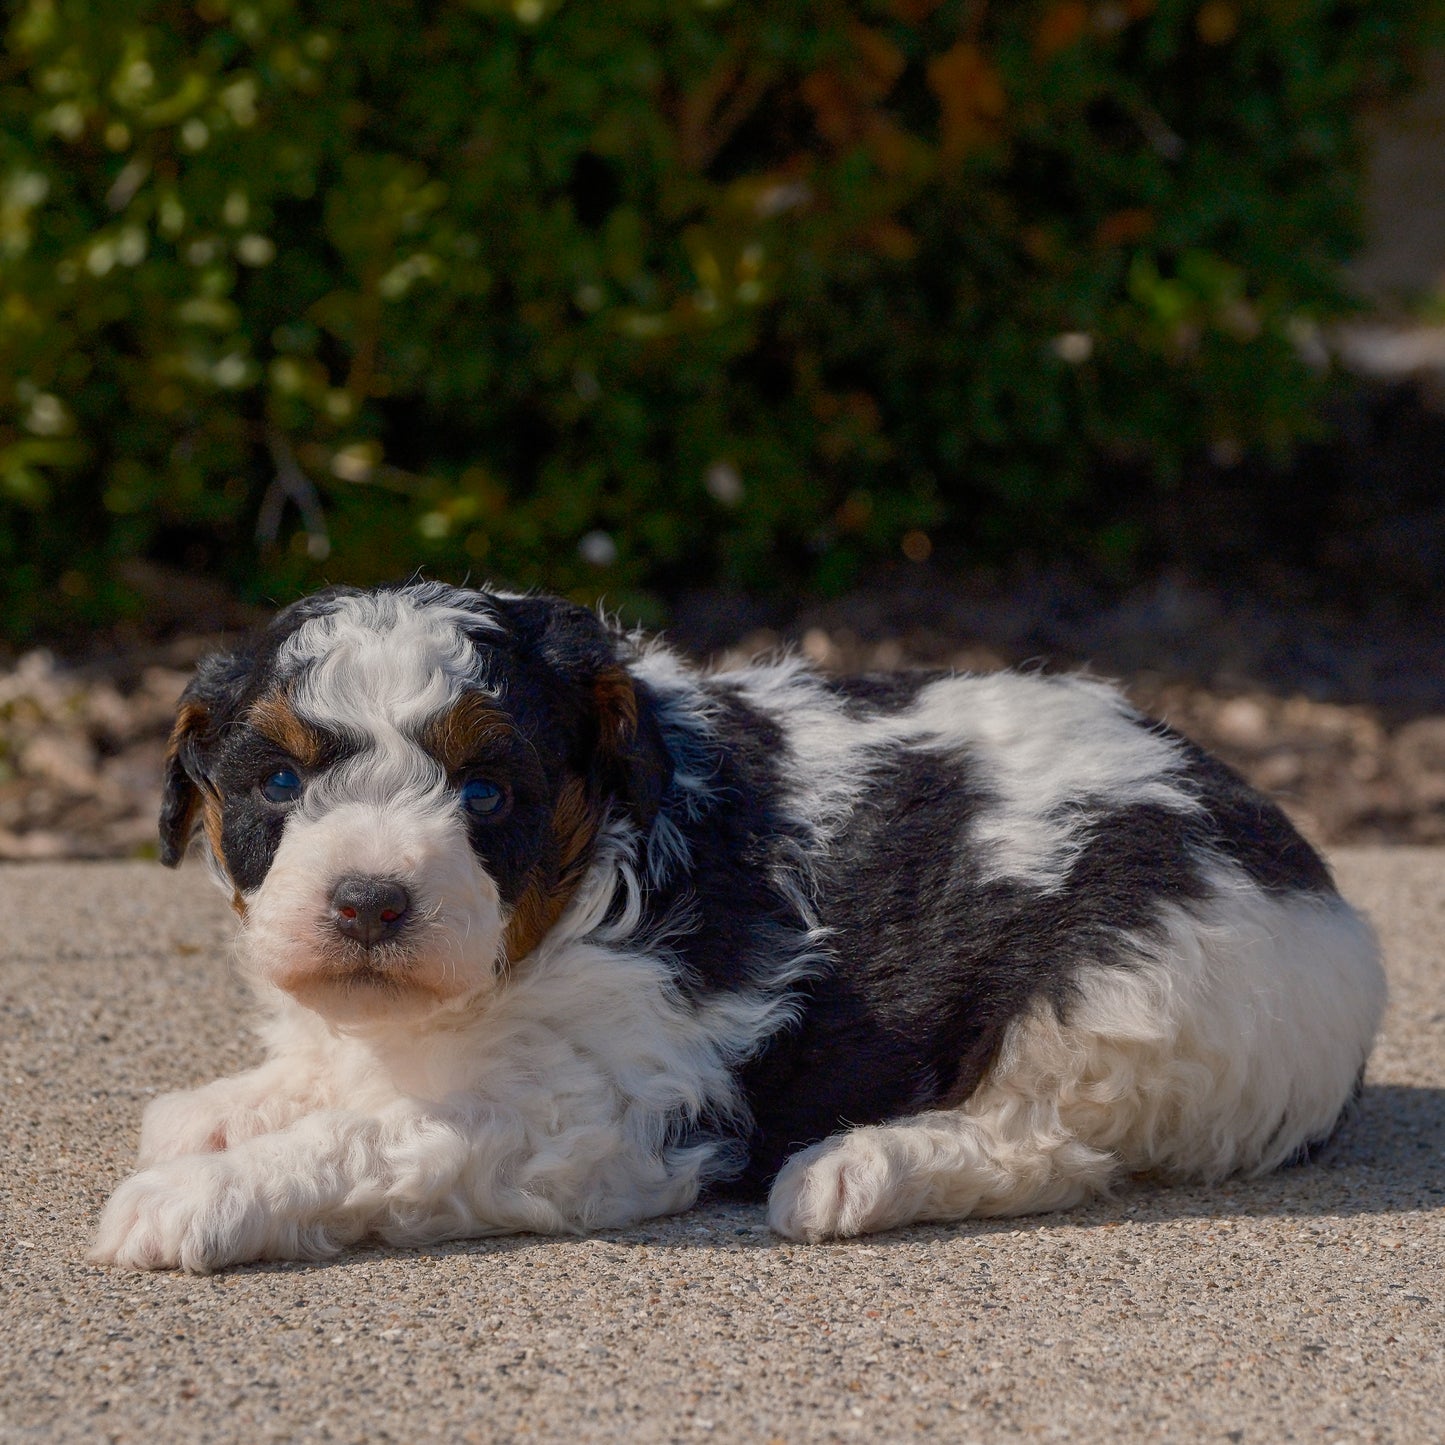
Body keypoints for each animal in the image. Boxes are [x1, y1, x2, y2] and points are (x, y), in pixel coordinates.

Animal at [93, 580, 1387, 1271]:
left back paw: (852, 1169)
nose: (369, 902)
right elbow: (328, 1083)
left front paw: (196, 1196)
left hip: (1120, 981)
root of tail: (1322, 901)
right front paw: (218, 1113)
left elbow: (368, 1139)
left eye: (486, 792)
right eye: (276, 783)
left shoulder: (591, 1113)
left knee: (1048, 1139)